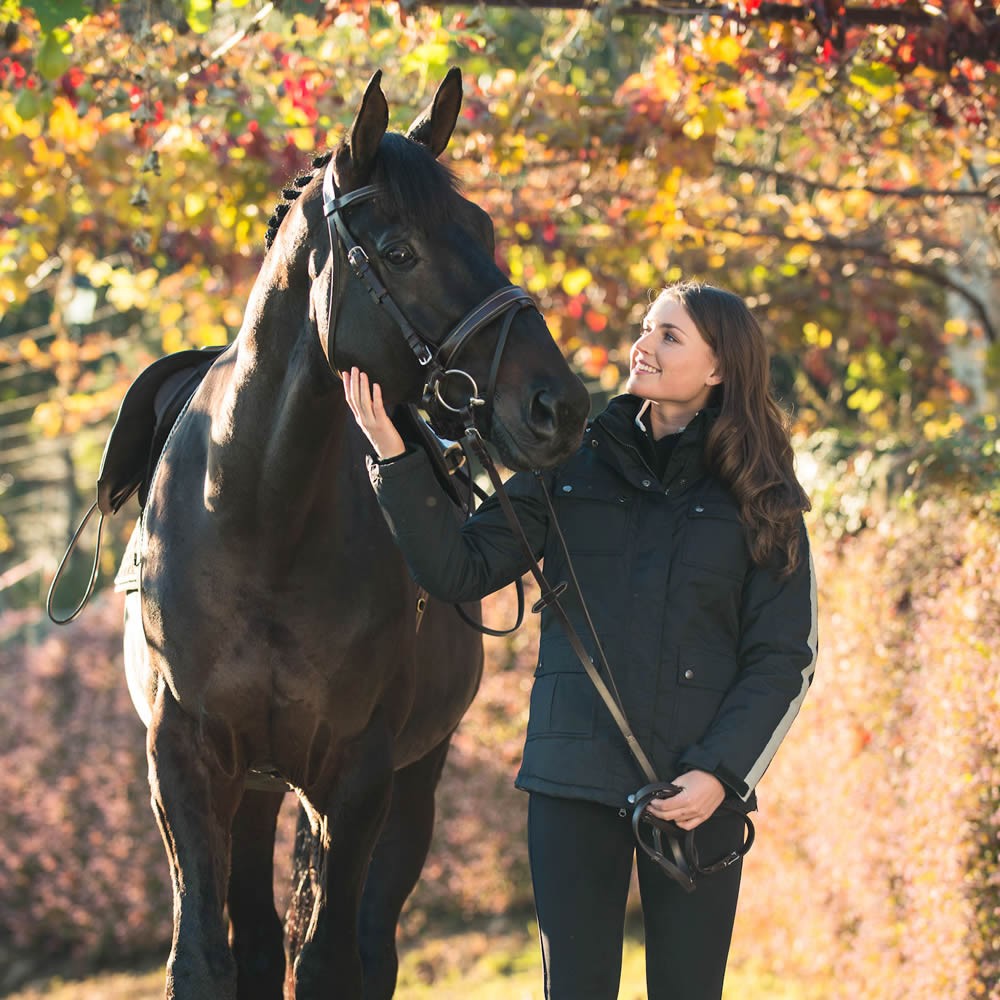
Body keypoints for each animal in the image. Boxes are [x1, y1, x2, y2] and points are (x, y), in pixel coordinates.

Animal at [119, 66, 584, 996]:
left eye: (483, 229)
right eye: (400, 251)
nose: (558, 405)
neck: (260, 520)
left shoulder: (362, 772)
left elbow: (331, 960)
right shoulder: (184, 762)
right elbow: (206, 959)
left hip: (409, 781)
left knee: (368, 944)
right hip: (256, 790)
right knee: (259, 943)